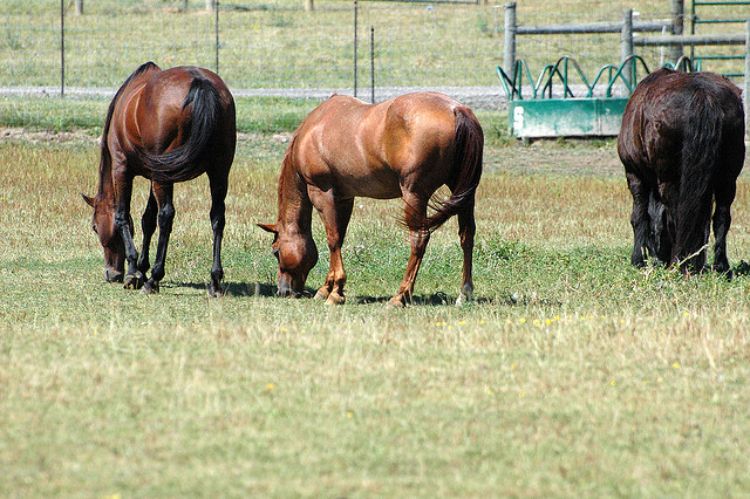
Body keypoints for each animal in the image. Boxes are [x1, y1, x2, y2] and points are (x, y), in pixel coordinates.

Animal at [82, 62, 236, 296]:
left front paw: (134, 271)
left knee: (166, 216)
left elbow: (123, 215)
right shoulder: (153, 176)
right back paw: (215, 280)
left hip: (164, 177)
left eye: (94, 227)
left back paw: (154, 279)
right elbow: (147, 219)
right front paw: (142, 267)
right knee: (217, 216)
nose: (111, 274)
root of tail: (200, 82)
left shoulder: (122, 169)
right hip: (218, 172)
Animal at [258, 92, 484, 306]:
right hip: (464, 193)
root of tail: (456, 109)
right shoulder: (345, 197)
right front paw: (327, 288)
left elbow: (332, 239)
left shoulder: (321, 193)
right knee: (466, 235)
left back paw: (400, 296)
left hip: (414, 194)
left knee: (419, 239)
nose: (283, 291)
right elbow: (339, 237)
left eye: (276, 252)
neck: (312, 129)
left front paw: (335, 292)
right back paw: (464, 293)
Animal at [616, 67, 748, 274]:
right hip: (728, 178)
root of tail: (703, 95)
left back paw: (679, 262)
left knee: (675, 214)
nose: (659, 257)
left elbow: (639, 217)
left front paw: (638, 260)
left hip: (670, 179)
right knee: (721, 217)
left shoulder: (634, 174)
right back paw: (720, 267)